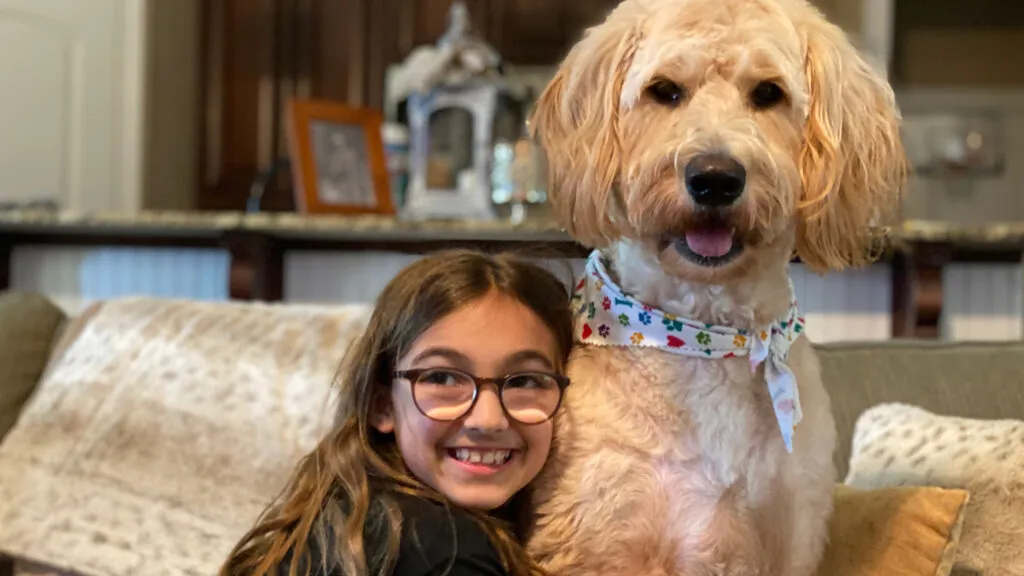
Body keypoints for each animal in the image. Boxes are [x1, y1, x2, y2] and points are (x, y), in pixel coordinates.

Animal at [528, 1, 905, 573]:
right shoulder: (600, 535)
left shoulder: (793, 532)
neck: (708, 338)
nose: (714, 178)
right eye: (664, 90)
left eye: (768, 92)